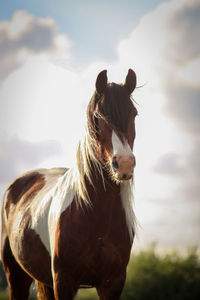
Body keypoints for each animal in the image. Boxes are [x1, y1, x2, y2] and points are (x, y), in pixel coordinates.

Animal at [0, 69, 138, 298]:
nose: (124, 164)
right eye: (98, 117)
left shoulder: (113, 282)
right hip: (16, 275)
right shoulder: (63, 280)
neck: (95, 215)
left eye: (134, 114)